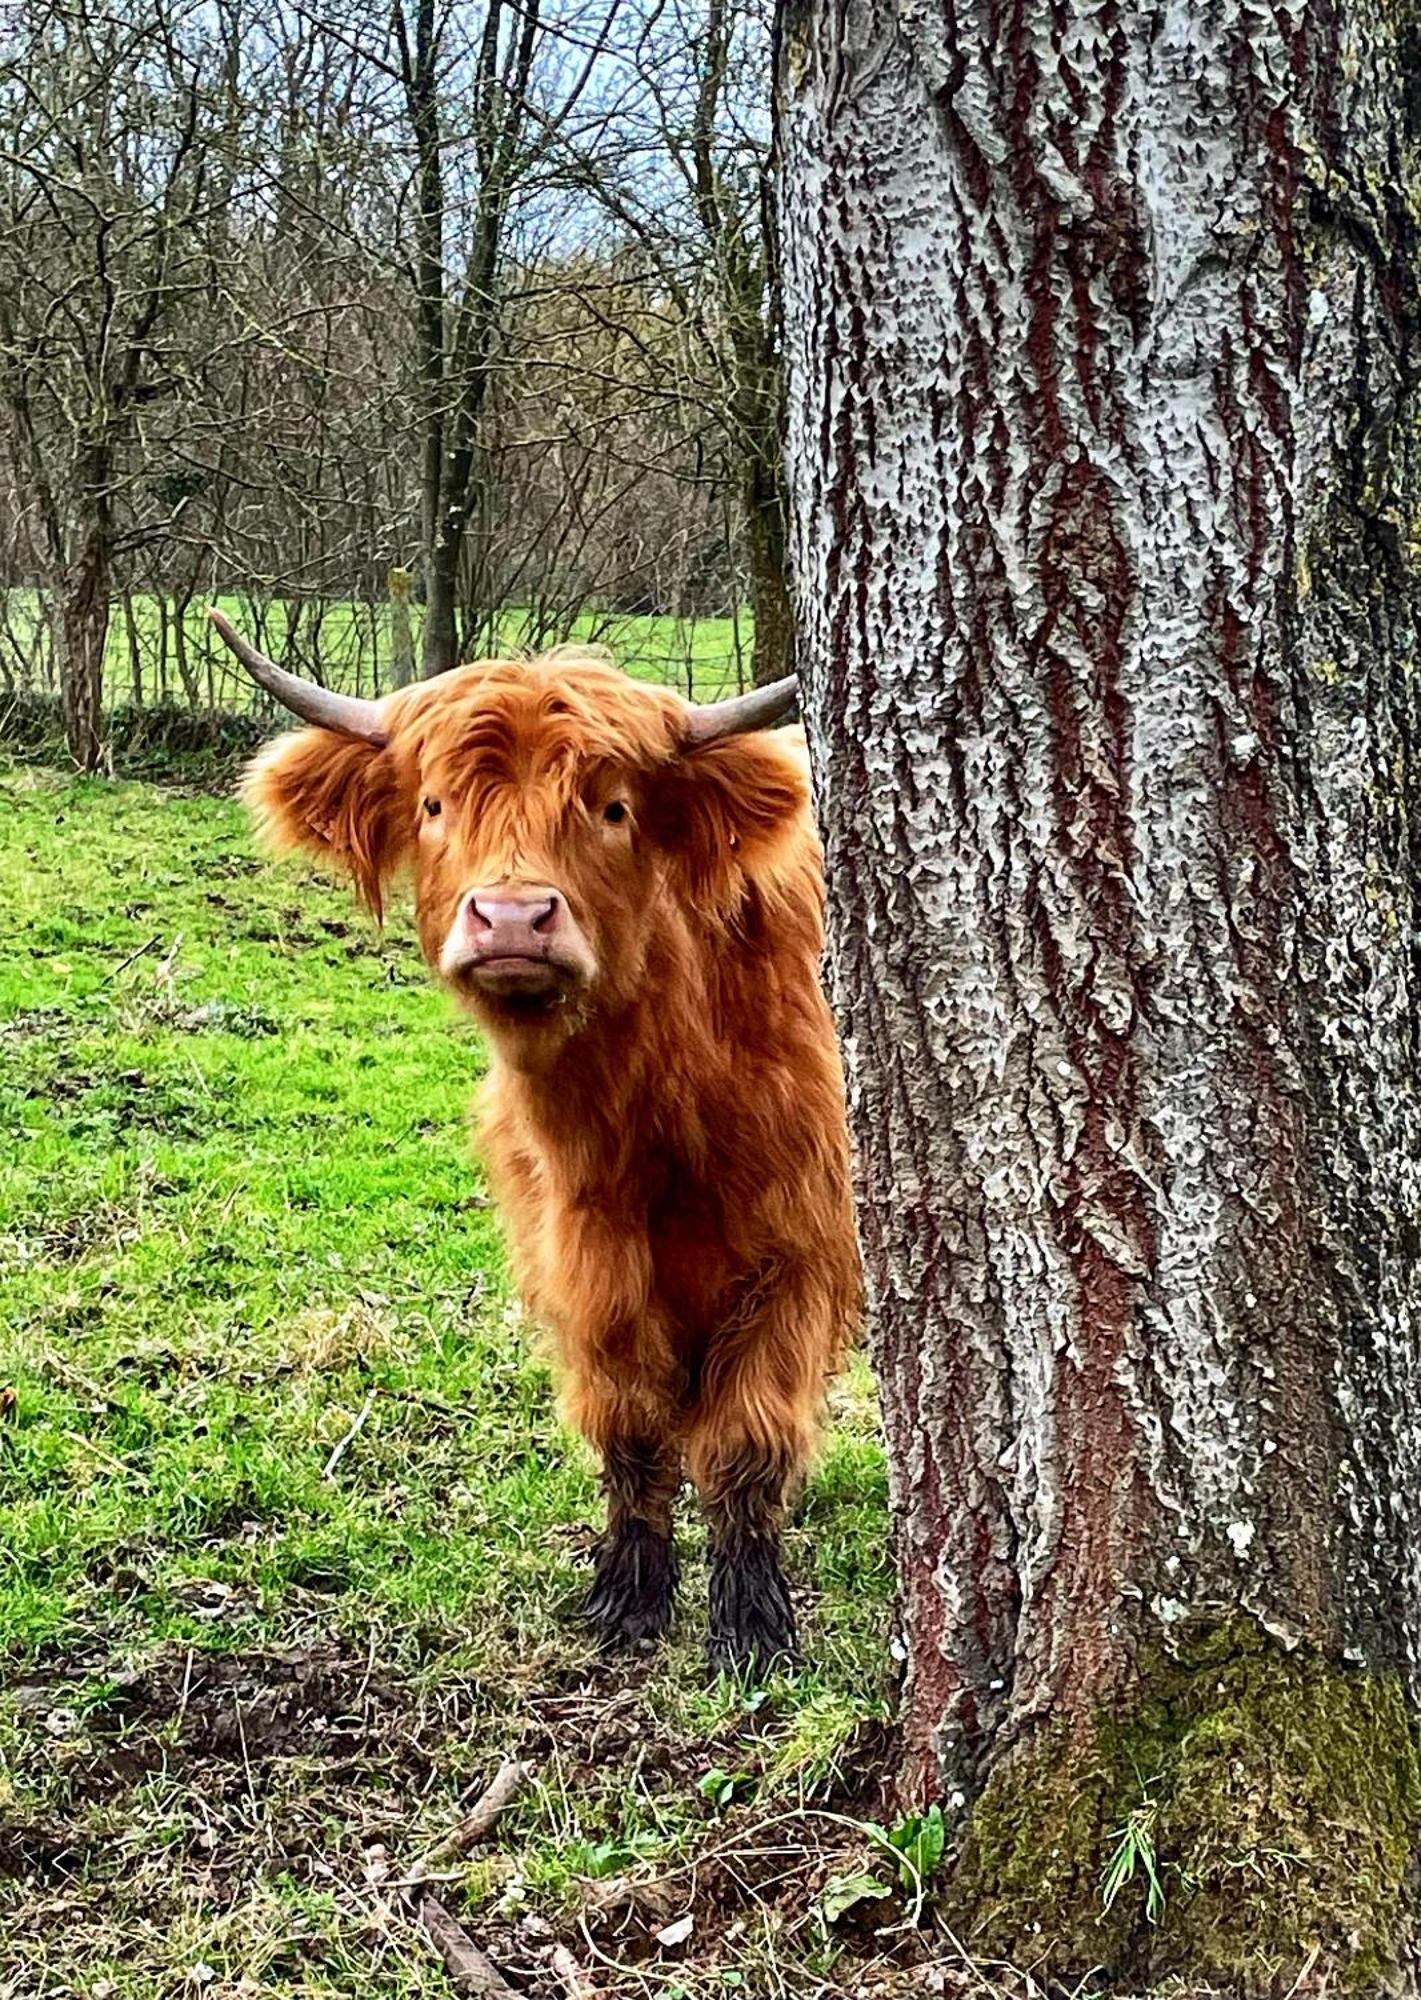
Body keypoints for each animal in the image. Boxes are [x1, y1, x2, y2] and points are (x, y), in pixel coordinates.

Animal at [210, 612, 856, 1672]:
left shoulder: (799, 1252)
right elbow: (628, 1427)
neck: (650, 1113)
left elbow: (744, 1438)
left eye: (614, 808)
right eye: (434, 803)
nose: (512, 916)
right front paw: (628, 1599)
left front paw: (751, 1625)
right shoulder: (581, 1257)